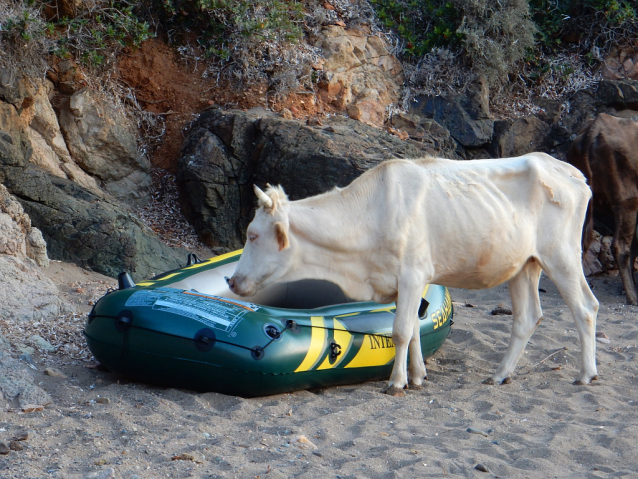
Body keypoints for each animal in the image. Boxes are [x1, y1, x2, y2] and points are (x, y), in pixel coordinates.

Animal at [229, 153, 600, 394]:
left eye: (253, 235)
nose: (231, 280)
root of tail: (570, 171)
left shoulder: (412, 273)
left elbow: (401, 331)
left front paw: (397, 383)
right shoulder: (408, 281)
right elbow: (416, 330)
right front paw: (419, 376)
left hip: (561, 254)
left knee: (585, 307)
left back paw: (586, 374)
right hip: (525, 264)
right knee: (527, 317)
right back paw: (500, 375)